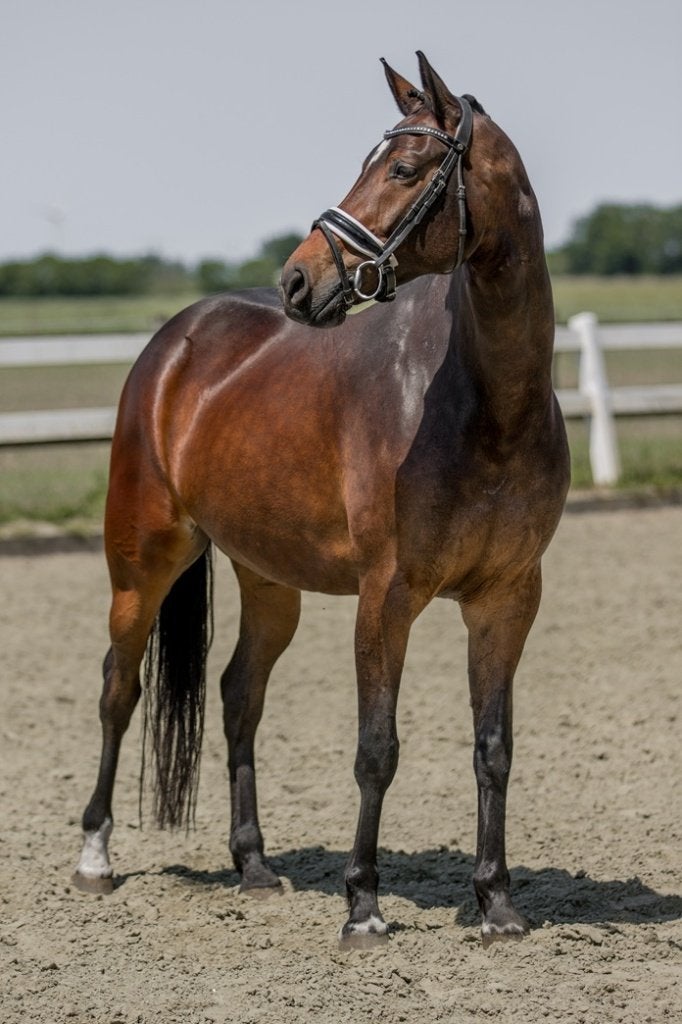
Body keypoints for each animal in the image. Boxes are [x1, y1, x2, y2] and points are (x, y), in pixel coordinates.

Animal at [73, 52, 569, 947]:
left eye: (404, 170)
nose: (299, 278)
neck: (486, 405)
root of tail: (175, 344)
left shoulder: (509, 598)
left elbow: (494, 748)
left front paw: (497, 904)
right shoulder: (388, 596)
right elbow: (378, 748)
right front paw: (363, 905)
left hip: (270, 580)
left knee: (239, 696)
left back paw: (254, 866)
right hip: (142, 561)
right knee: (118, 688)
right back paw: (95, 858)